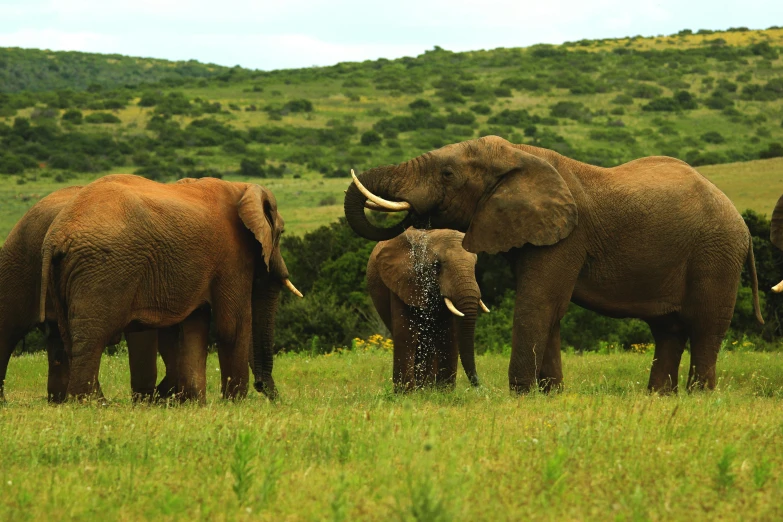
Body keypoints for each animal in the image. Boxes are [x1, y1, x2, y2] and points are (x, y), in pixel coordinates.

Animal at [39, 174, 304, 398]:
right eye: (281, 232)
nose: (265, 389)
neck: (241, 188)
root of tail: (55, 236)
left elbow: (195, 325)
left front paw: (196, 403)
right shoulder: (231, 254)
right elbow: (232, 327)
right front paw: (235, 404)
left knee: (70, 338)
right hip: (103, 270)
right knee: (93, 337)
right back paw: (91, 403)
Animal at [366, 228, 486, 390]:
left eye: (475, 264)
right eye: (437, 265)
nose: (478, 386)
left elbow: (449, 334)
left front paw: (444, 392)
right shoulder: (402, 280)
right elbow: (406, 334)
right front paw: (406, 392)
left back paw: (427, 388)